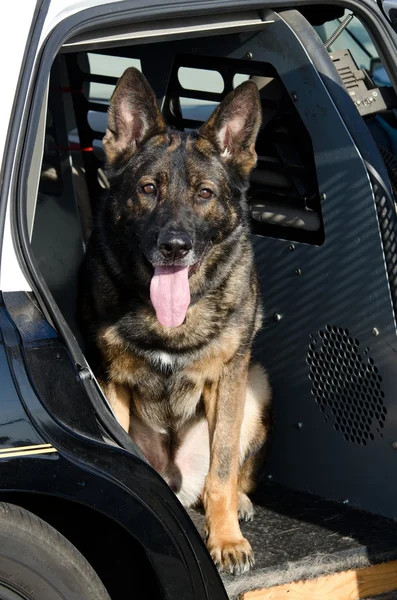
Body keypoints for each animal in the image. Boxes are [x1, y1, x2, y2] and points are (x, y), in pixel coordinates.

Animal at [77, 68, 270, 576]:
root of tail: (175, 479)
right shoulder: (111, 382)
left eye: (204, 194)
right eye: (148, 189)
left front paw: (226, 539)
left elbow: (223, 470)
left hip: (255, 385)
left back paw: (237, 505)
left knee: (225, 474)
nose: (175, 246)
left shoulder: (229, 378)